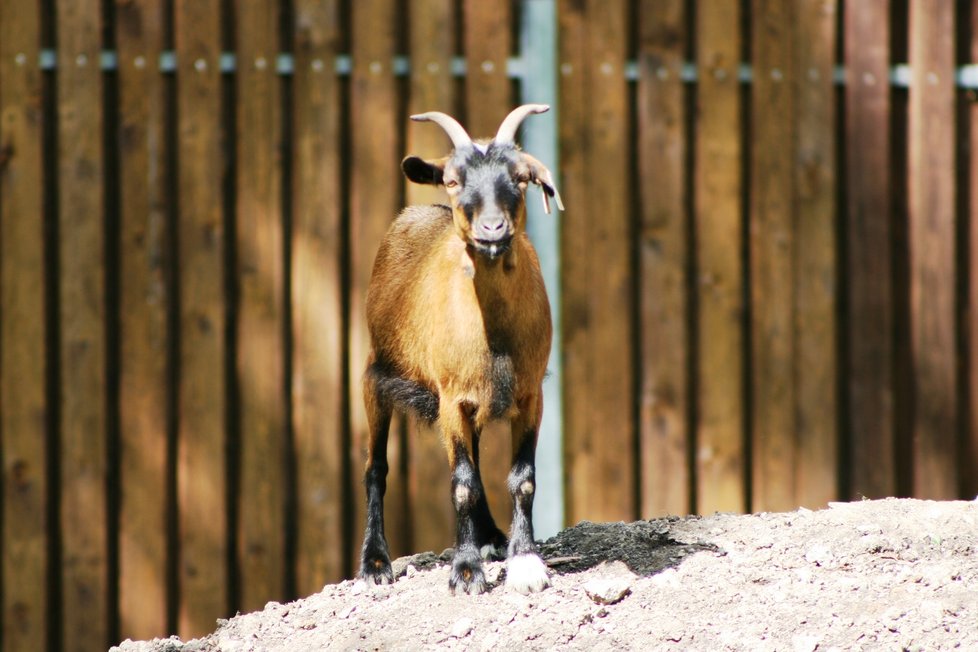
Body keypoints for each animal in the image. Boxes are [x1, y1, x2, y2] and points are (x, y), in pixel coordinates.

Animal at [354, 103, 560, 596]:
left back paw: (491, 537)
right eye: (452, 179)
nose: (492, 228)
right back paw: (375, 562)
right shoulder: (450, 397)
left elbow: (522, 479)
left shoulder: (529, 394)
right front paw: (466, 571)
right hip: (376, 376)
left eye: (521, 177)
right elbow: (461, 483)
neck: (495, 332)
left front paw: (524, 560)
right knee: (376, 468)